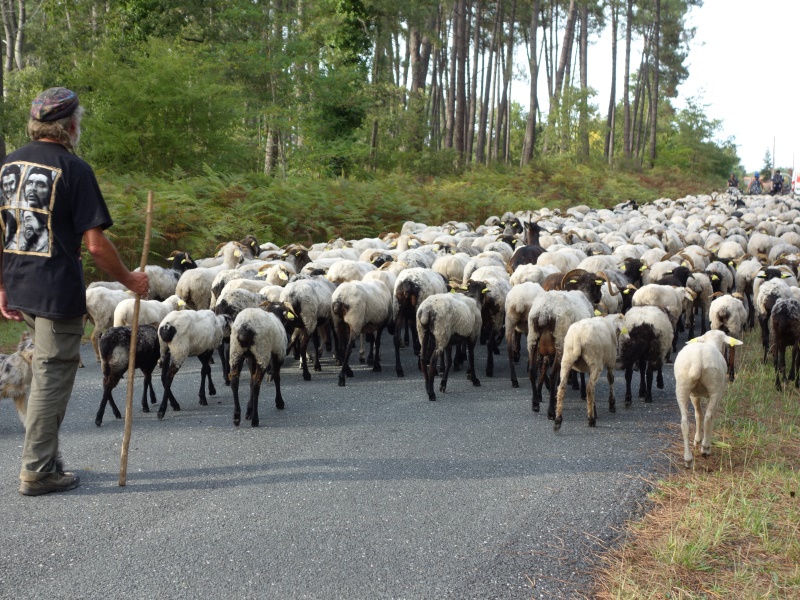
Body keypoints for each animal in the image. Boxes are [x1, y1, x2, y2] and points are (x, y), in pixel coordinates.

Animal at [676, 330, 744, 466]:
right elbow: (706, 416)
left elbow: (698, 415)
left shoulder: (694, 395)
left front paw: (697, 440)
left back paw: (688, 459)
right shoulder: (718, 393)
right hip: (715, 387)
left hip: (682, 387)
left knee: (685, 422)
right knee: (709, 417)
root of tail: (698, 361)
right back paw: (706, 449)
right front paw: (702, 444)